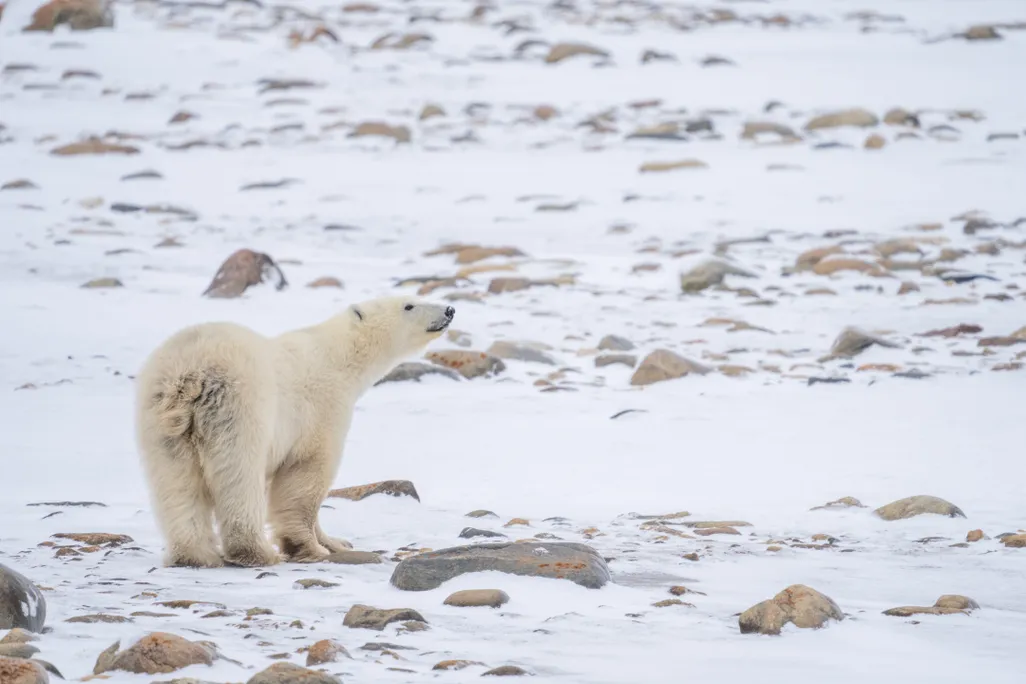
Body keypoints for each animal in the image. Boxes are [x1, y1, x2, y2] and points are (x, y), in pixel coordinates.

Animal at [134, 295, 455, 568]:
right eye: (409, 305)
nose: (450, 310)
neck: (339, 358)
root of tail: (190, 374)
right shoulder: (320, 411)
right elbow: (305, 477)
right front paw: (309, 547)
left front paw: (336, 542)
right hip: (239, 408)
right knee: (239, 475)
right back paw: (255, 552)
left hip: (162, 420)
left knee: (176, 482)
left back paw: (193, 554)